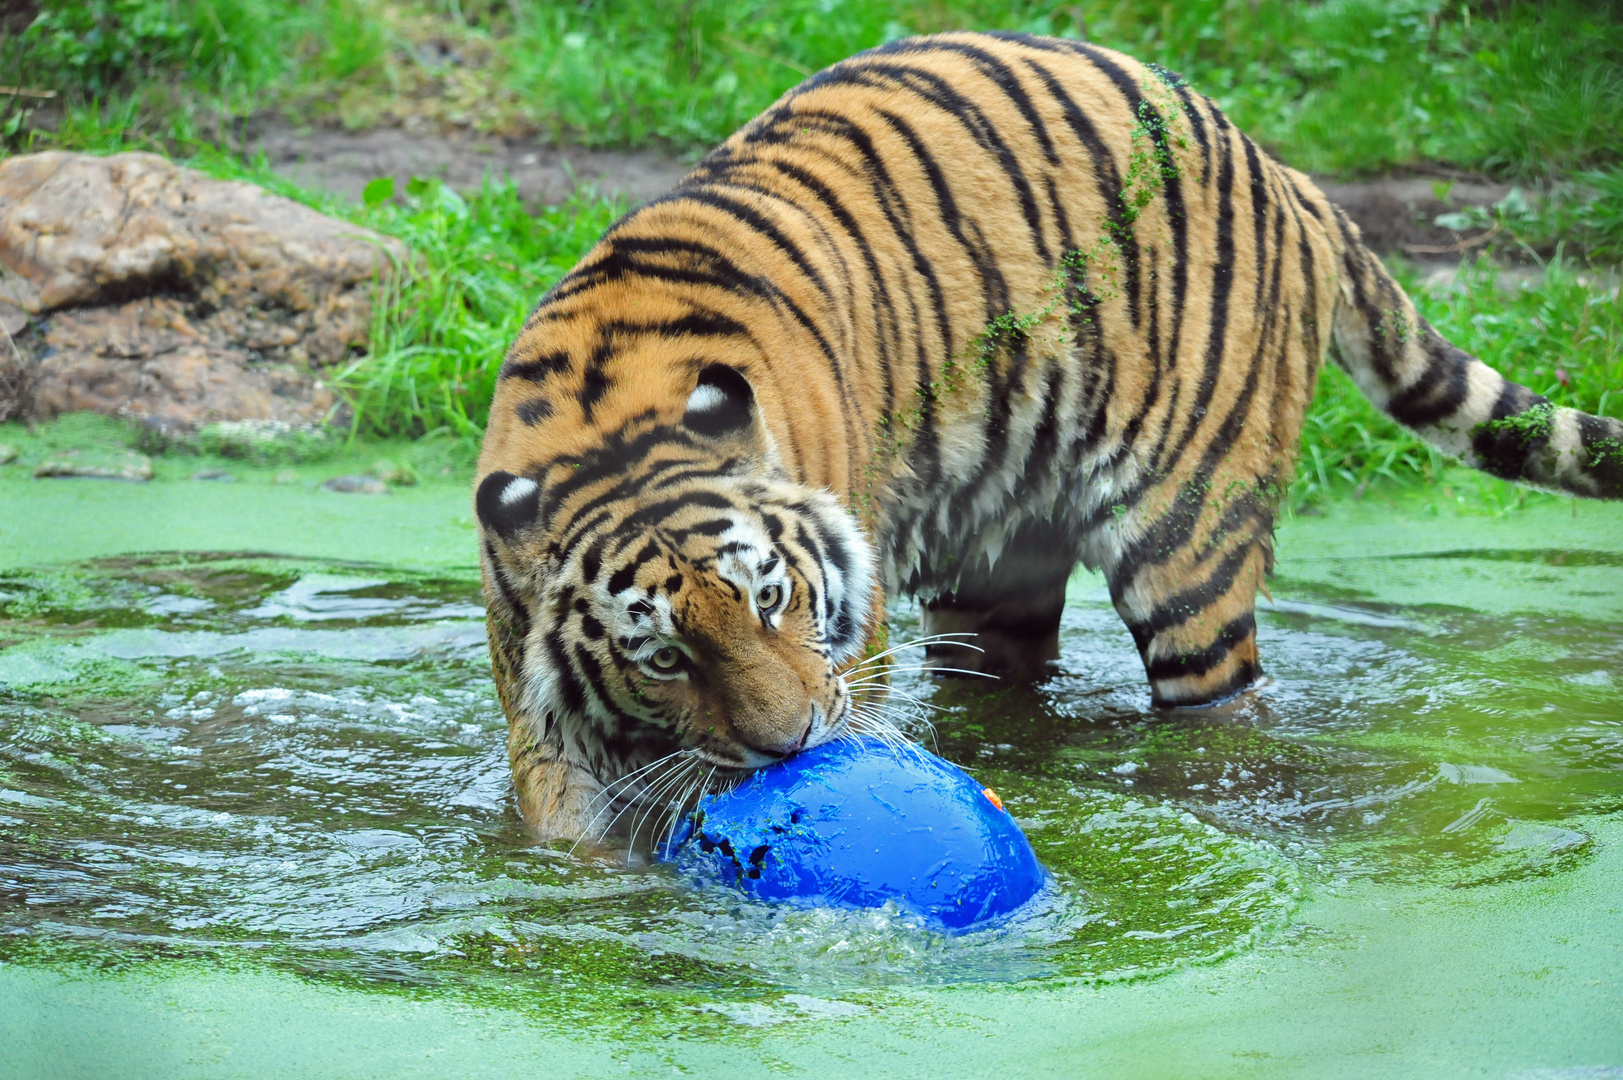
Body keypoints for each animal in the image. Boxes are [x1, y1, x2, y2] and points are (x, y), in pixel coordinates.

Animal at [473, 31, 1623, 844]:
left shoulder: (859, 650)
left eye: (770, 600)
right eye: (665, 657)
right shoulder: (543, 714)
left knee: (1222, 705)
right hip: (994, 578)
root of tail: (1275, 164)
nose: (789, 745)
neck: (616, 430)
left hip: (1191, 550)